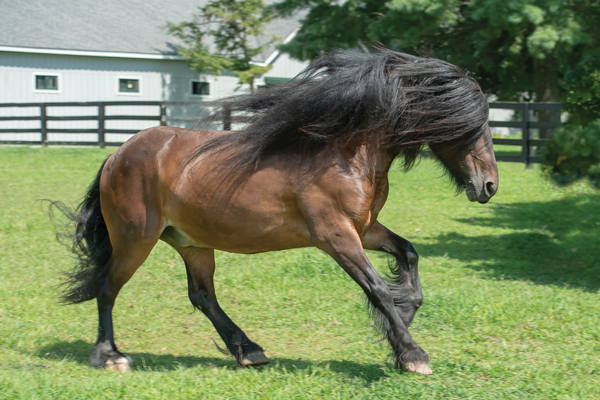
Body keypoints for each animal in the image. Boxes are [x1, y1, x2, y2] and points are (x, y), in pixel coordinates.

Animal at [54, 49, 500, 376]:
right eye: (472, 124)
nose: (489, 186)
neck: (346, 154)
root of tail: (117, 155)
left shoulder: (365, 228)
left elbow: (408, 254)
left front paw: (403, 318)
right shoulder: (336, 235)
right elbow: (375, 286)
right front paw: (411, 353)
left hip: (191, 243)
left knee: (203, 296)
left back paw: (248, 350)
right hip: (135, 239)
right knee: (107, 287)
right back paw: (109, 356)